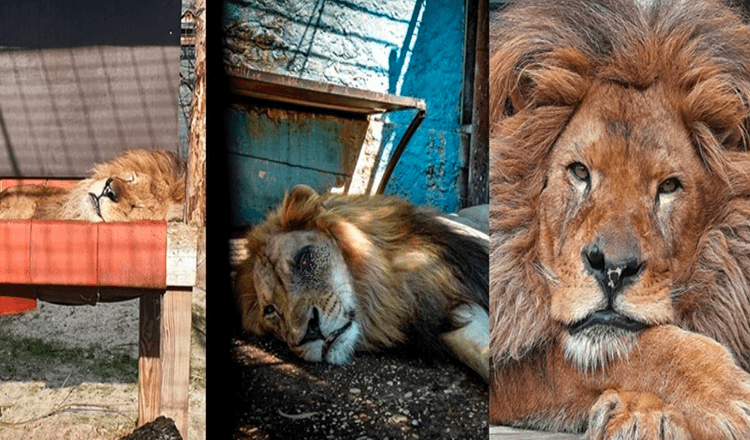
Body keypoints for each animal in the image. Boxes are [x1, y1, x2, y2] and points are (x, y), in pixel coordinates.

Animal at [490, 0, 750, 438]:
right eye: (580, 172)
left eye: (669, 186)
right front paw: (726, 396)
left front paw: (645, 414)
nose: (612, 269)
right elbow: (621, 352)